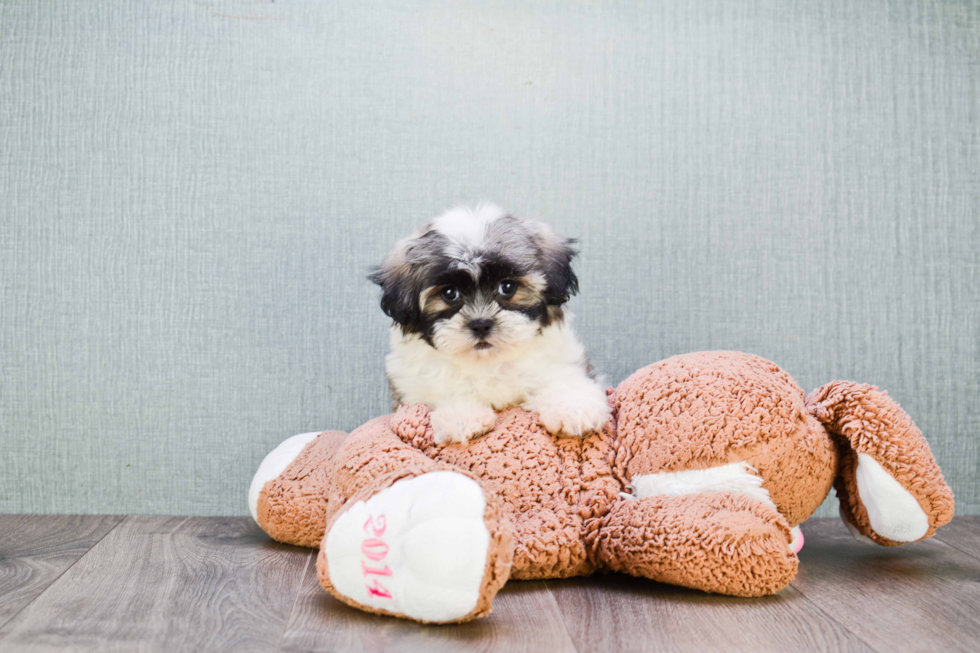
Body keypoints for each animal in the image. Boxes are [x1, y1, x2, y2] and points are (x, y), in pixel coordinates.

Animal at [372, 204, 608, 446]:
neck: (488, 362)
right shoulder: (411, 388)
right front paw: (462, 416)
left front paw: (574, 407)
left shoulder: (562, 358)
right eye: (449, 293)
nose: (481, 324)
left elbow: (561, 377)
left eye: (507, 287)